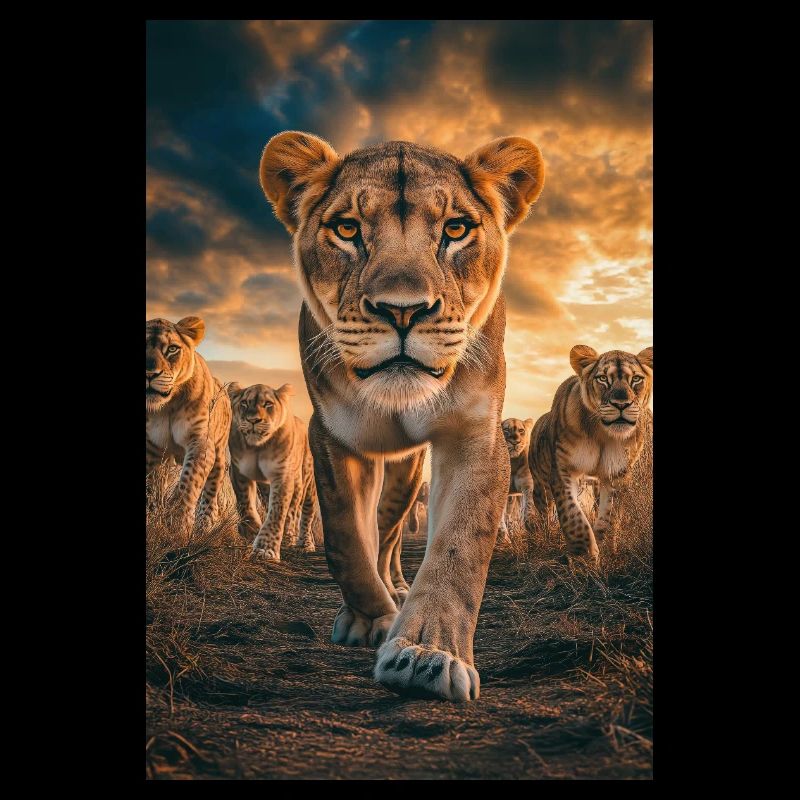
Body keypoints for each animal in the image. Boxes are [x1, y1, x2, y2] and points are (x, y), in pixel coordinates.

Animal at [146, 316, 232, 543]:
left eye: (172, 349)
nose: (149, 374)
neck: (165, 407)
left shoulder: (200, 442)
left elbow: (188, 483)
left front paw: (177, 527)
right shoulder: (150, 447)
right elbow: (151, 487)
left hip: (219, 455)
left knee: (210, 493)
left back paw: (205, 526)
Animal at [227, 382, 318, 561]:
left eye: (268, 404)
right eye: (244, 403)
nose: (253, 420)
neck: (258, 448)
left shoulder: (282, 475)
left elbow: (277, 511)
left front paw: (266, 549)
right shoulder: (239, 470)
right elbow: (244, 503)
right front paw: (252, 530)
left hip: (307, 482)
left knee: (305, 513)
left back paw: (304, 544)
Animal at [259, 131, 544, 701]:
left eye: (455, 229)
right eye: (347, 228)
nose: (403, 310)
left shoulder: (475, 436)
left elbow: (458, 548)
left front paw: (425, 654)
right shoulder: (333, 434)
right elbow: (346, 537)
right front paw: (370, 619)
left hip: (409, 471)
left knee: (391, 533)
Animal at [528, 345, 653, 562]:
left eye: (636, 379)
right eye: (602, 379)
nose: (621, 405)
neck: (602, 434)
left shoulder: (617, 475)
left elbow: (609, 517)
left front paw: (604, 550)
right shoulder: (563, 470)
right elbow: (573, 517)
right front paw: (584, 558)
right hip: (540, 485)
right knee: (545, 510)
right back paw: (547, 536)